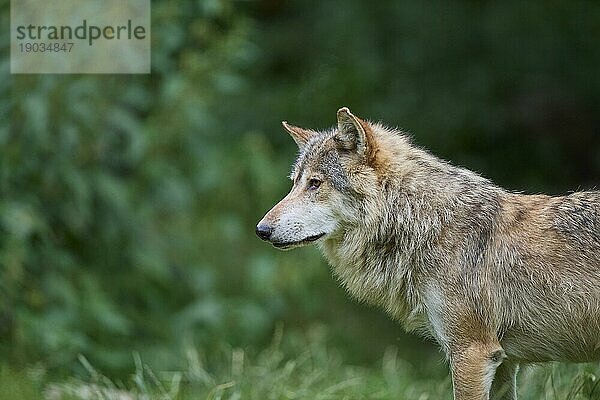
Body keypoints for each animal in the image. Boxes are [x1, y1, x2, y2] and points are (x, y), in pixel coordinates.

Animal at [256, 107, 600, 400]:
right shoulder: (504, 362)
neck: (423, 223)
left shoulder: (472, 353)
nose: (261, 229)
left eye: (315, 184)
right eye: (294, 183)